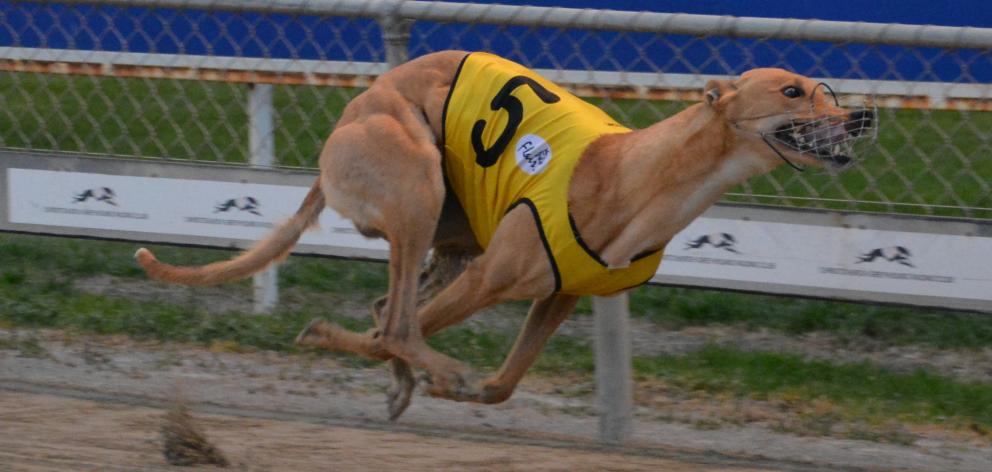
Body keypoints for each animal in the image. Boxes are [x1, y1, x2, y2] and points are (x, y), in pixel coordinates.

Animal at [134, 52, 876, 420]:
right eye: (790, 91)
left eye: (830, 90)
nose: (864, 115)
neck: (637, 171)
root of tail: (349, 115)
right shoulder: (495, 278)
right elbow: (399, 337)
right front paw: (428, 375)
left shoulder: (561, 295)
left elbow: (504, 385)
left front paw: (447, 387)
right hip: (417, 186)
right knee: (395, 322)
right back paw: (402, 362)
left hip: (452, 236)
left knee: (388, 312)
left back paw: (405, 382)